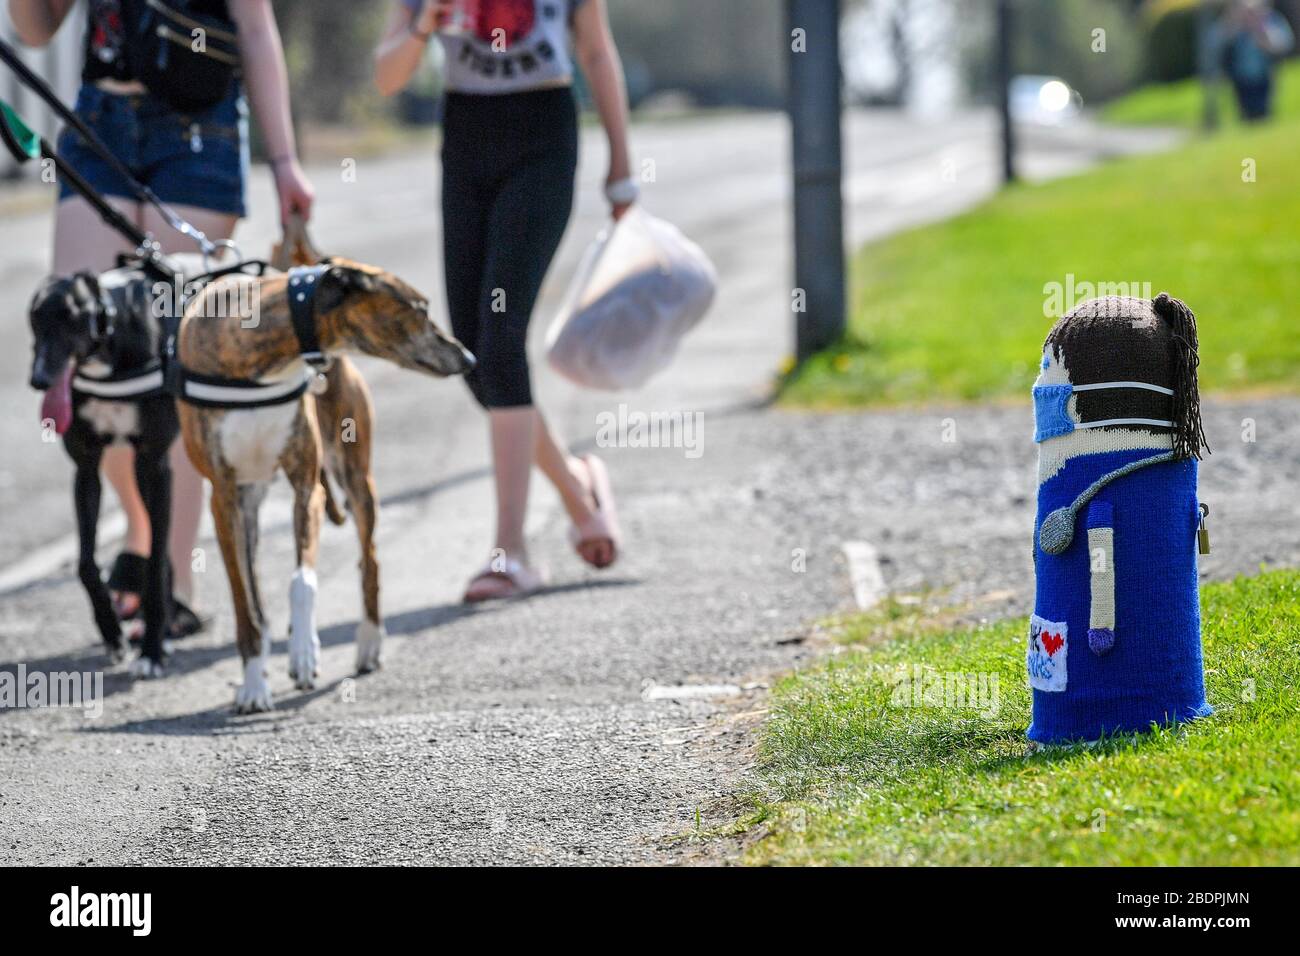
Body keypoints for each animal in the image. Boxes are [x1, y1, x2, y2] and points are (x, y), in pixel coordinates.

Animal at [29, 265, 176, 676]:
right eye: (34, 320)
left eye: (70, 318)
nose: (38, 379)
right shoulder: (86, 469)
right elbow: (85, 564)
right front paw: (113, 634)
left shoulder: (156, 465)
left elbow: (156, 562)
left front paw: (152, 651)